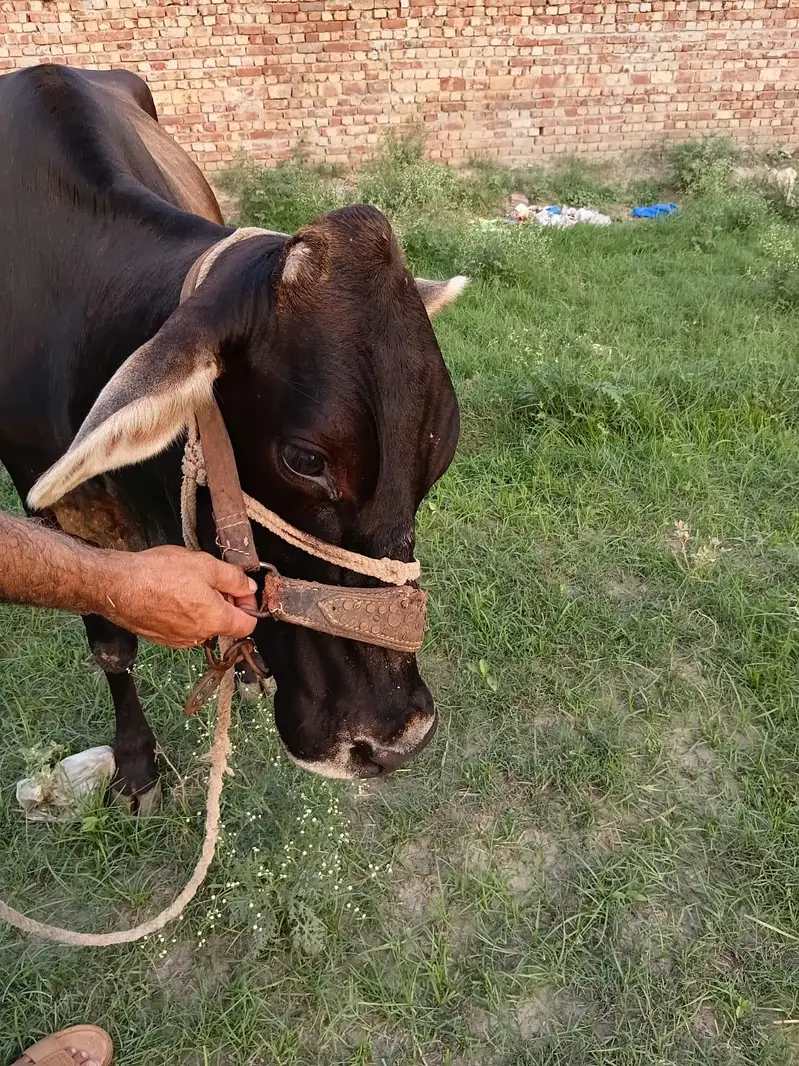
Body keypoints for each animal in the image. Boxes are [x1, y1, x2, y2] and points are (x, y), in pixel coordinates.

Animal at [0, 64, 466, 810]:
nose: (397, 738)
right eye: (304, 460)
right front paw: (135, 766)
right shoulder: (48, 496)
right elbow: (111, 643)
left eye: (440, 453)